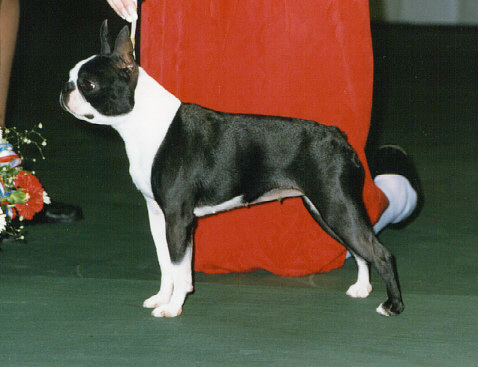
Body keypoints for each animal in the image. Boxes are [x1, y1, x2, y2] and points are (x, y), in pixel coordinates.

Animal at [59, 21, 404, 318]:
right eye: (71, 76)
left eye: (88, 84)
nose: (65, 90)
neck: (143, 122)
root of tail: (337, 135)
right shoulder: (158, 214)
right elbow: (166, 264)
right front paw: (161, 298)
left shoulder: (178, 218)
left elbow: (179, 266)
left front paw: (173, 307)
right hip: (325, 209)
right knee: (359, 249)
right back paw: (361, 288)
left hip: (336, 206)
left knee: (380, 252)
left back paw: (393, 306)